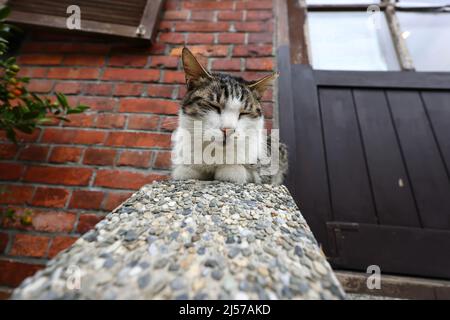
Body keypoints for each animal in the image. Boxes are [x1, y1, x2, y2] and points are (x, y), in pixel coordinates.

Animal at [171, 46, 290, 184]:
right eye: (214, 106)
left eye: (244, 113)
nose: (227, 130)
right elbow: (184, 172)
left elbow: (252, 172)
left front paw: (232, 169)